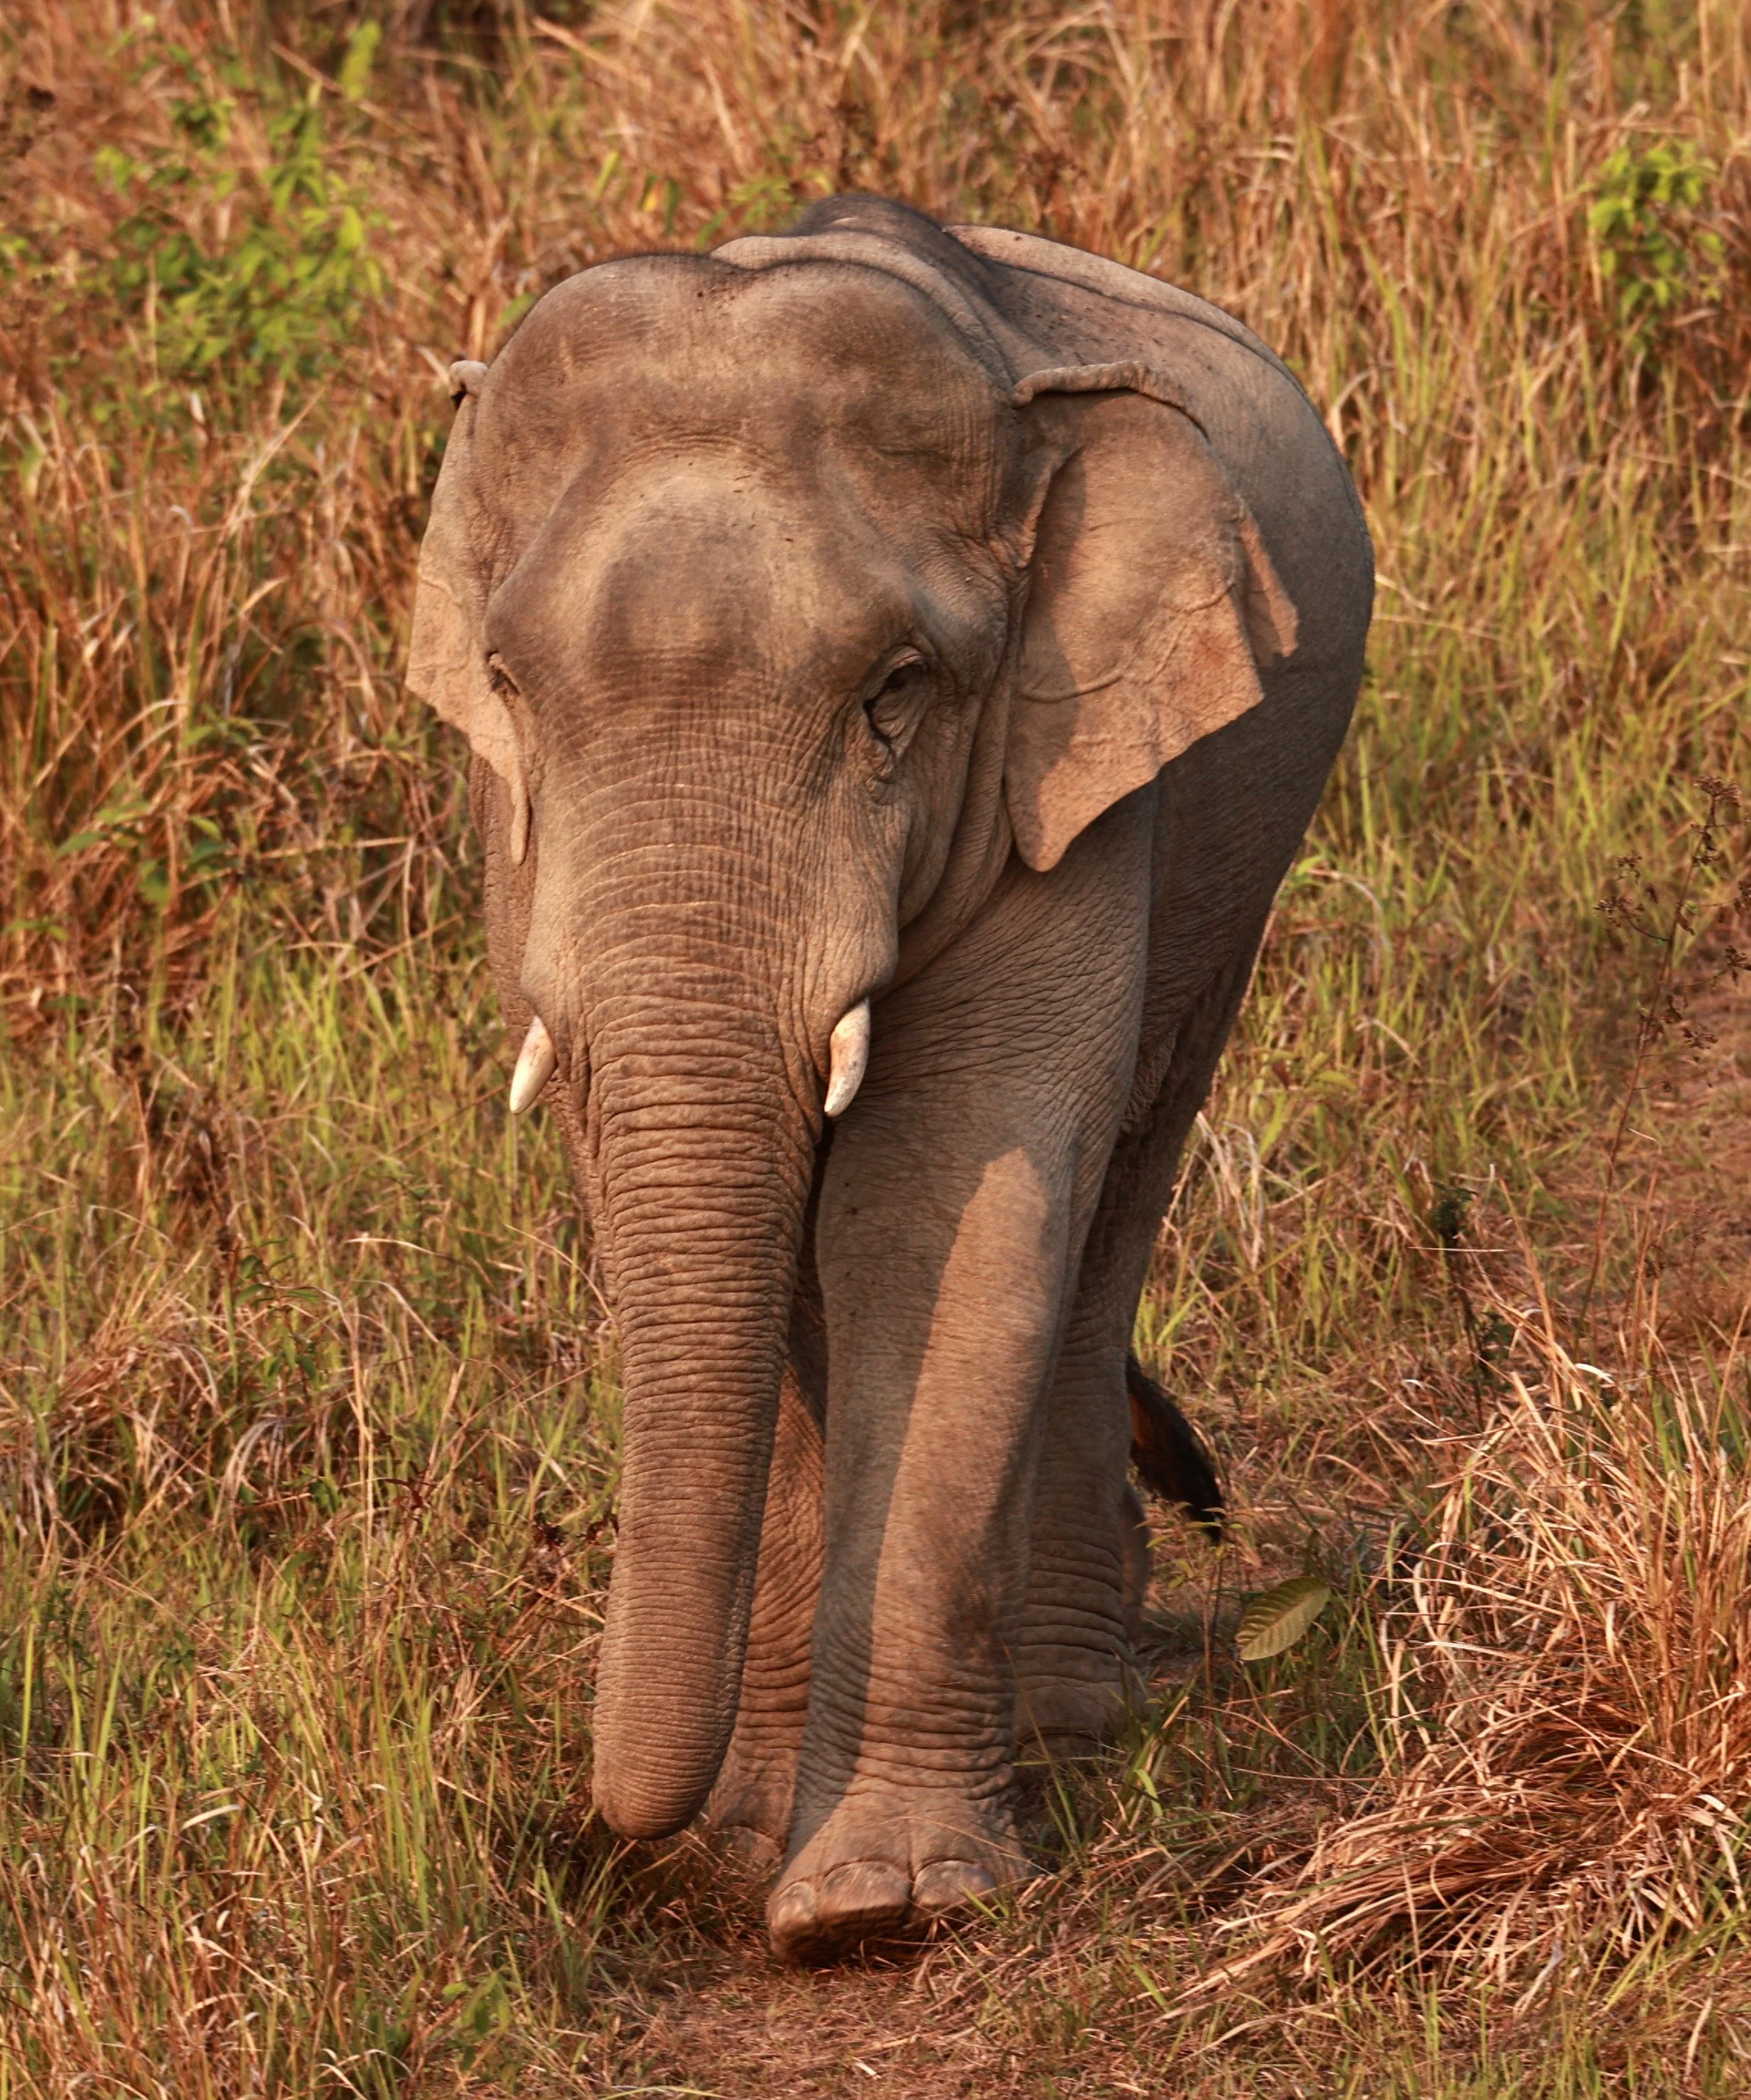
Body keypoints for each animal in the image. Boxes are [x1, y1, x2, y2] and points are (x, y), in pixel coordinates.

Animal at [407, 194, 1372, 1965]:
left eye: (897, 693)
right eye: (507, 686)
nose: (617, 1831)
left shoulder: (1066, 778)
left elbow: (931, 1205)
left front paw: (876, 1908)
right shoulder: (524, 855)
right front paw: (745, 1844)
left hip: (1244, 850)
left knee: (1115, 1194)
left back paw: (1065, 1720)